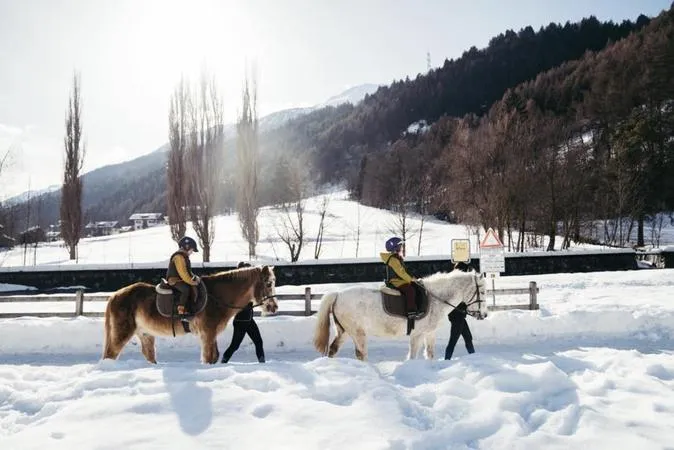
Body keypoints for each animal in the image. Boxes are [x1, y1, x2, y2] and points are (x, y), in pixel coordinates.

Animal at [102, 265, 278, 364]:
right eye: (269, 283)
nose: (274, 307)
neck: (216, 297)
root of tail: (115, 295)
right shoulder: (207, 334)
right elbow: (208, 358)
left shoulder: (211, 335)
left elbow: (214, 357)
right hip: (122, 332)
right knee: (111, 354)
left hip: (145, 334)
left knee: (148, 355)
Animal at [313, 269, 488, 361]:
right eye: (483, 291)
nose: (484, 314)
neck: (435, 298)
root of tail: (338, 295)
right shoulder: (417, 335)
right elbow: (413, 356)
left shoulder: (429, 333)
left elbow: (430, 354)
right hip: (357, 333)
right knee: (361, 353)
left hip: (344, 331)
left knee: (333, 349)